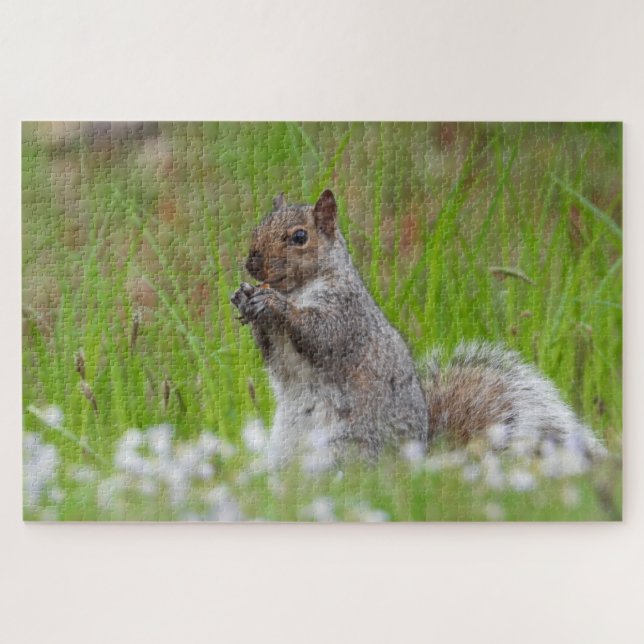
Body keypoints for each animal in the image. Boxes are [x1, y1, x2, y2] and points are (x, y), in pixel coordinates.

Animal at [231, 190, 605, 468]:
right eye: (258, 227)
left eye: (299, 236)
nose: (252, 262)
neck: (298, 287)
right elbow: (273, 354)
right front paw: (244, 297)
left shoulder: (347, 314)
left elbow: (321, 335)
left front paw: (273, 303)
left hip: (346, 447)